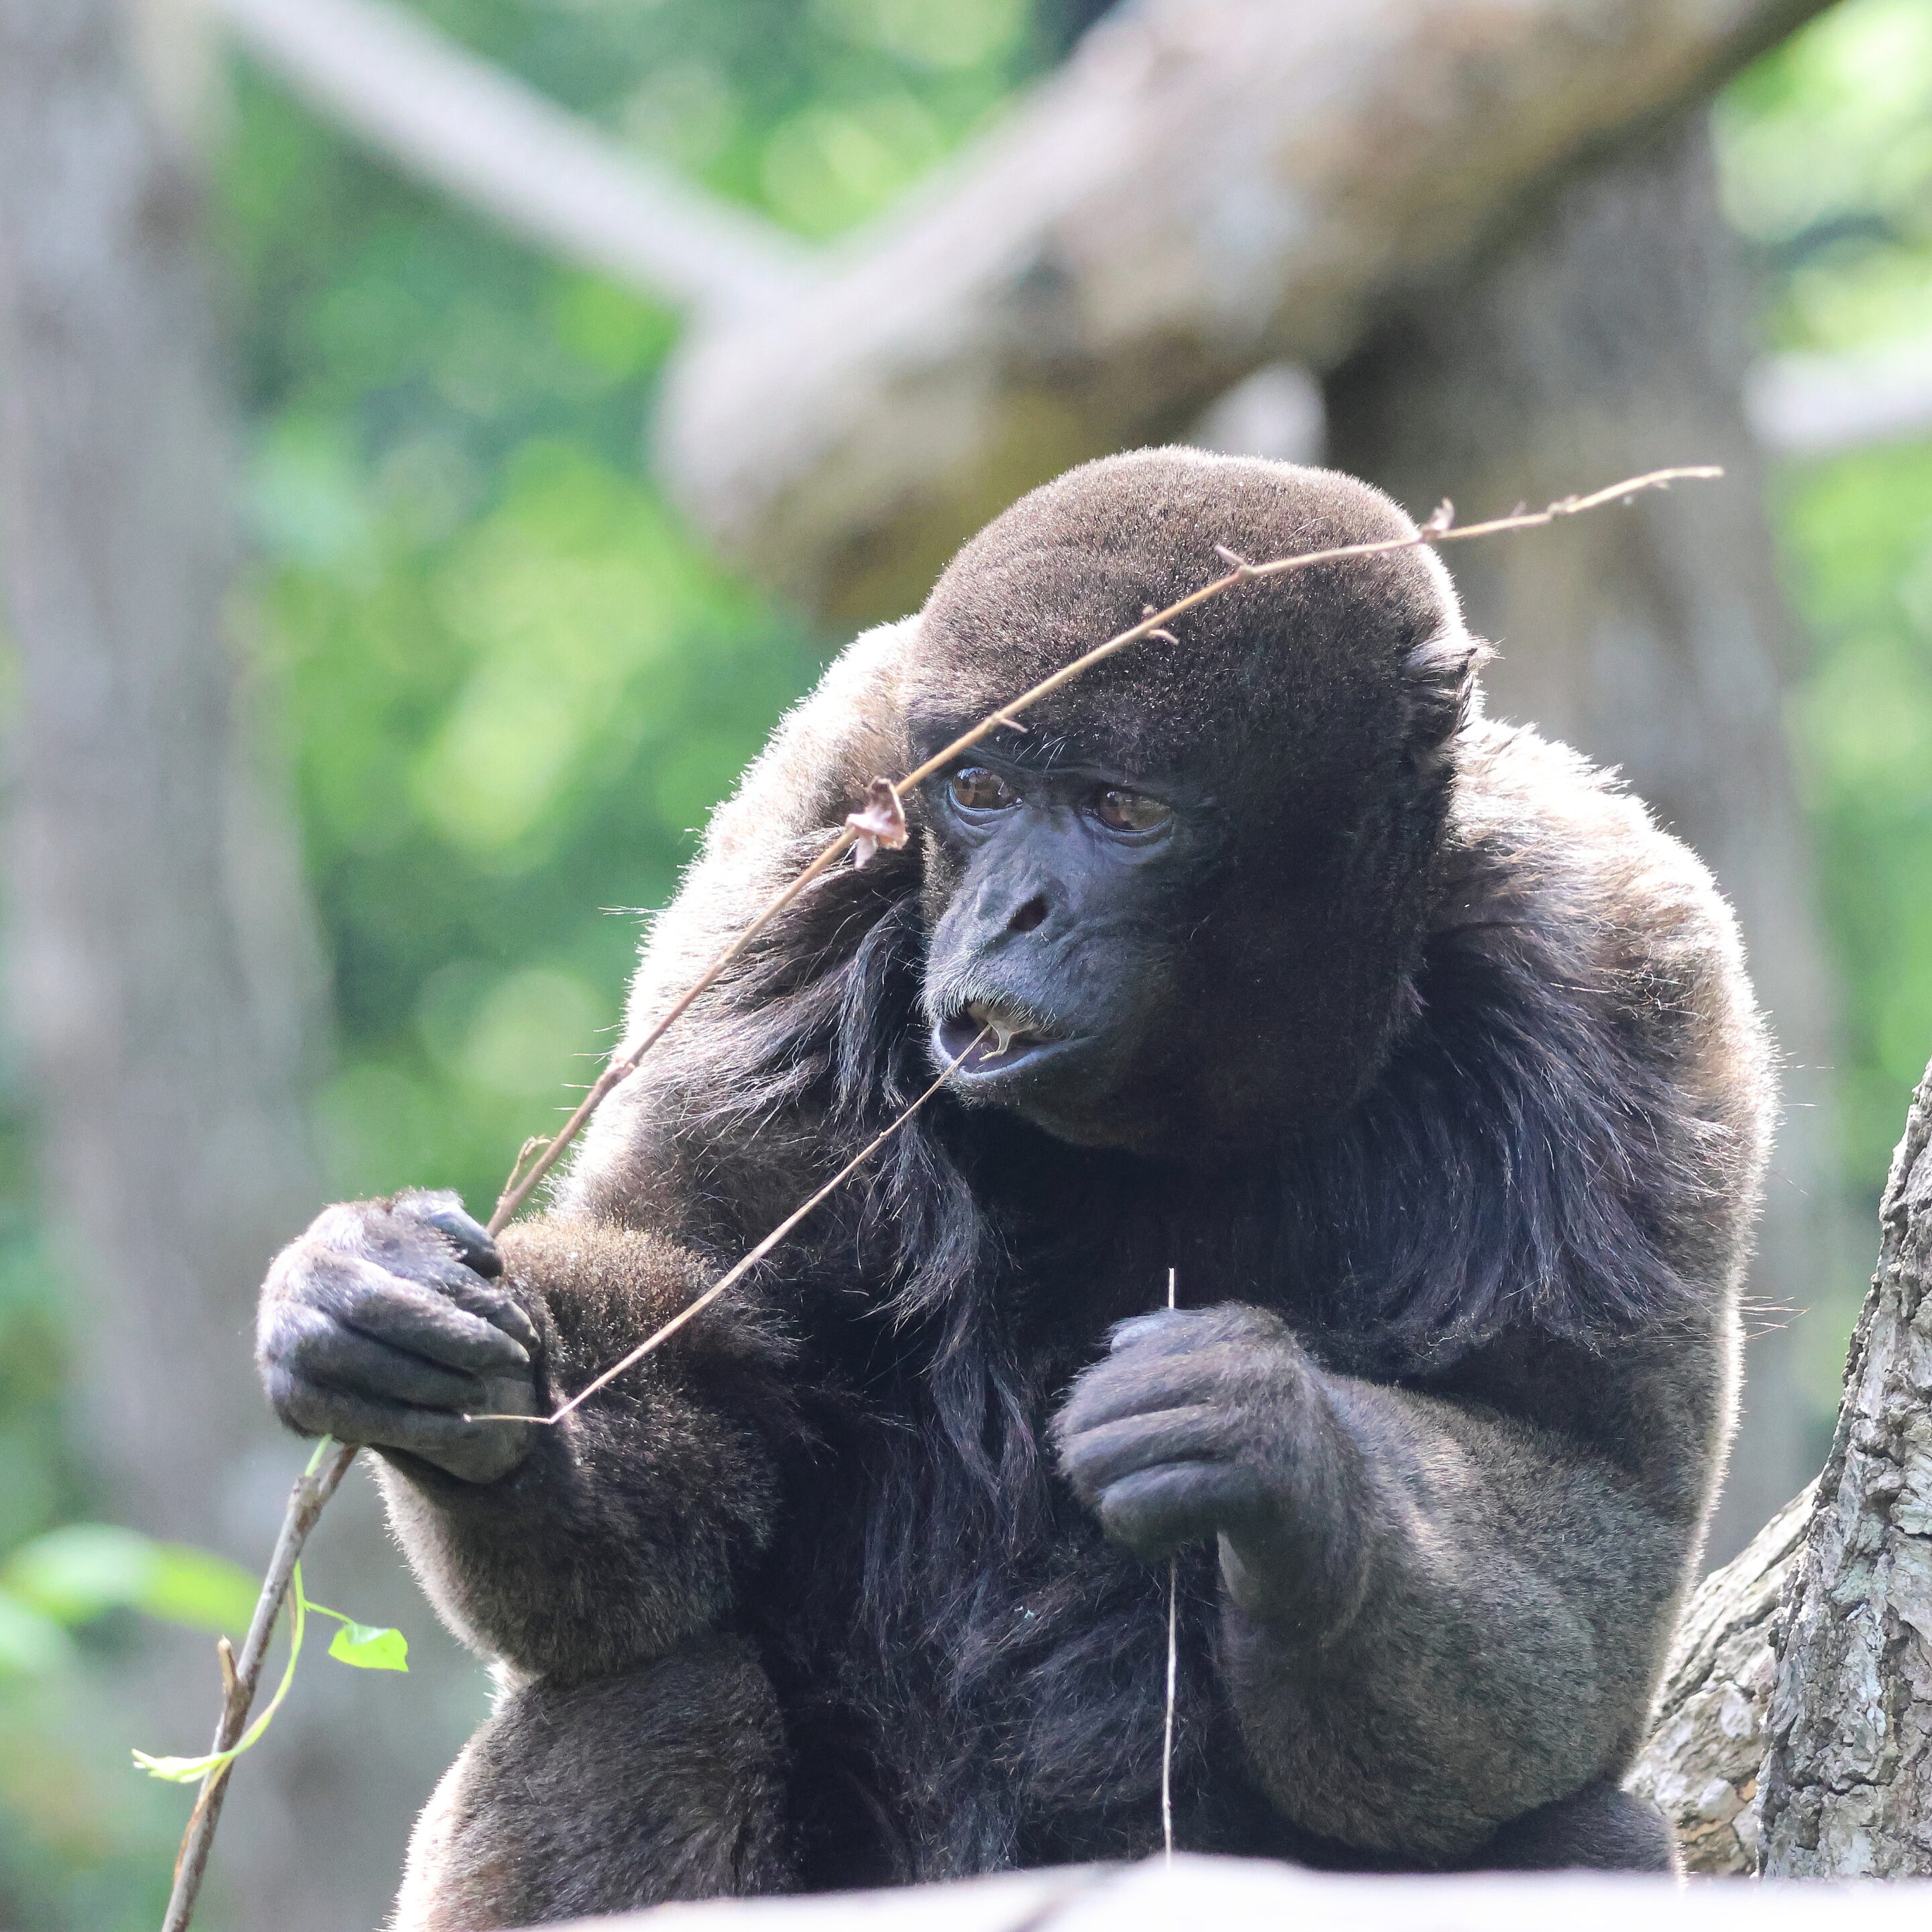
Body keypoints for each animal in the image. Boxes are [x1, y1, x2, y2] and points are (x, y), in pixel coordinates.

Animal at [257, 451, 1771, 1926]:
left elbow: (1605, 1529)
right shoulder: (800, 850)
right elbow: (718, 1368)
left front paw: (1280, 1450)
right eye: (979, 794)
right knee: (647, 1699)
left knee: (1578, 1830)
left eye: (1121, 809)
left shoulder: (1625, 977)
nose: (1010, 912)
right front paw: (426, 1348)